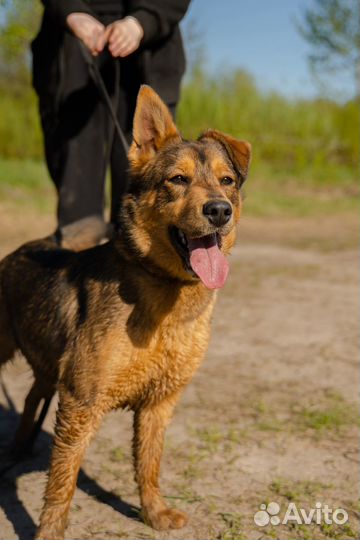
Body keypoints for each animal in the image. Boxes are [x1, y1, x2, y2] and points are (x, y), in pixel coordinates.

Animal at [0, 86, 250, 536]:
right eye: (178, 180)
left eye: (227, 181)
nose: (219, 210)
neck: (168, 297)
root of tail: (27, 246)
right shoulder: (80, 404)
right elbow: (62, 484)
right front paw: (49, 532)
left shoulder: (159, 403)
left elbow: (148, 465)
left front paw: (153, 512)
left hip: (46, 367)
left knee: (30, 398)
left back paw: (19, 447)